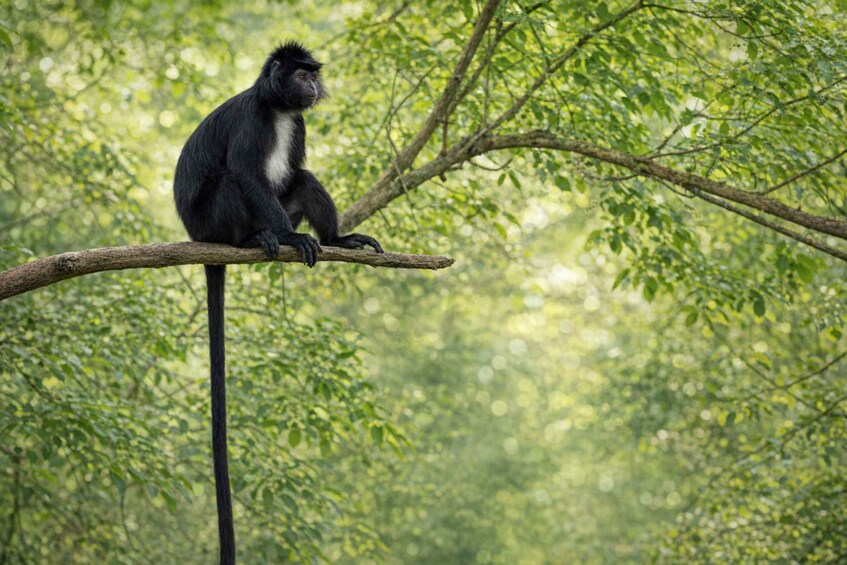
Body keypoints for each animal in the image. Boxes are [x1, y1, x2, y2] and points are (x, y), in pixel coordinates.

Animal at [173, 41, 383, 565]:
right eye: (301, 74)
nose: (312, 86)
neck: (280, 110)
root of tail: (198, 239)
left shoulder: (298, 123)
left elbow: (295, 173)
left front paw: (331, 239)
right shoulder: (253, 119)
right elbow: (247, 173)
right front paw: (290, 237)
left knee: (302, 179)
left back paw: (334, 240)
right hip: (211, 223)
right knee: (231, 180)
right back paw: (257, 238)